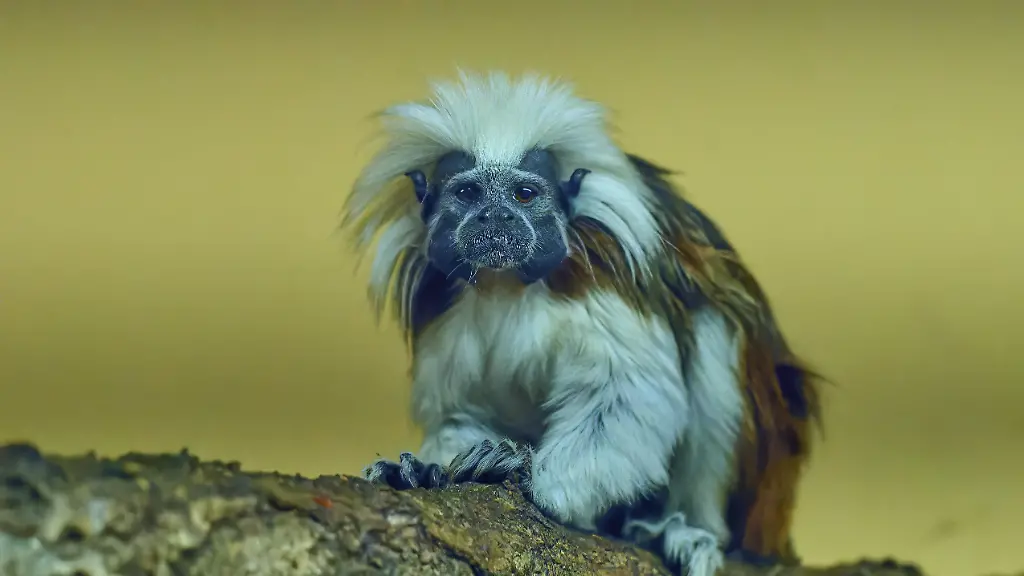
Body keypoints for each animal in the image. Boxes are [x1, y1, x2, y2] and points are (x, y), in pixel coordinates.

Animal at [341, 70, 823, 576]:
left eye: (524, 194)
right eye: (468, 193)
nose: (497, 216)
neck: (505, 282)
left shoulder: (603, 274)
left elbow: (626, 394)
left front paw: (523, 472)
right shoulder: (445, 305)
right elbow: (462, 411)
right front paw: (423, 472)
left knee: (714, 331)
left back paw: (684, 531)